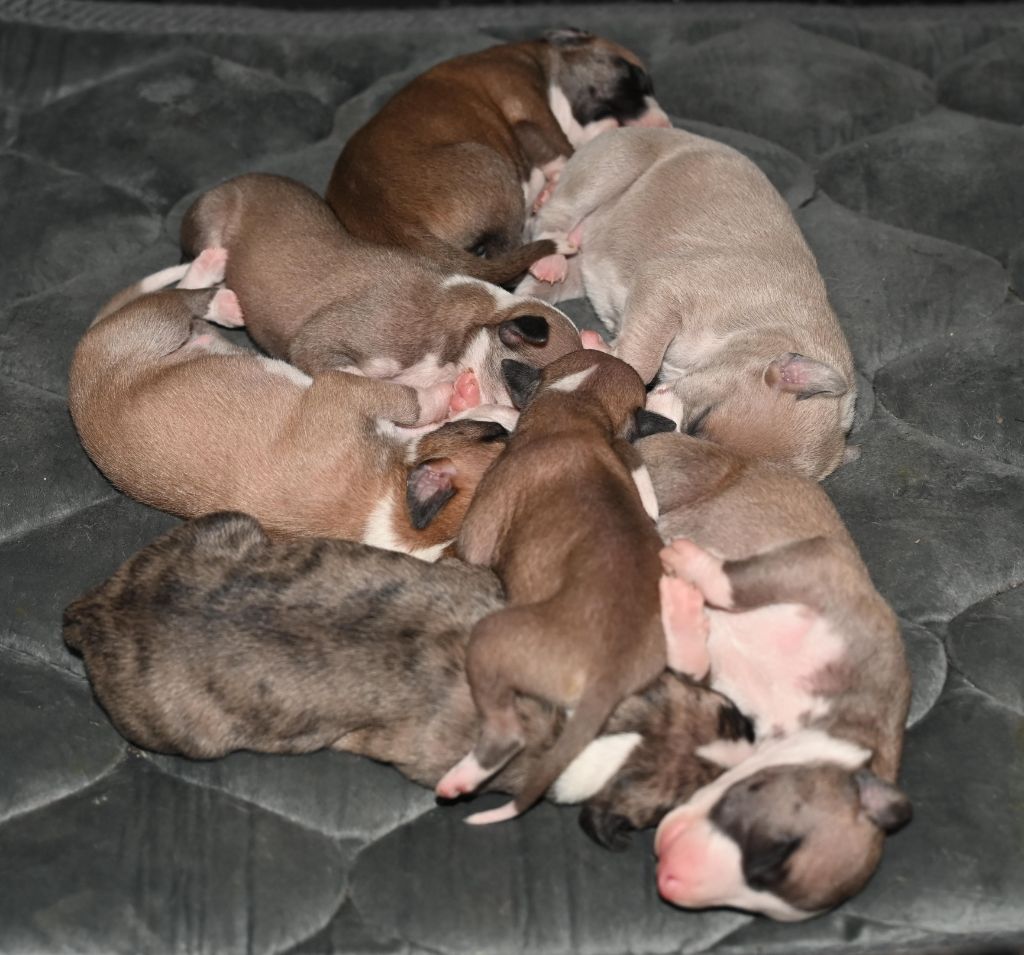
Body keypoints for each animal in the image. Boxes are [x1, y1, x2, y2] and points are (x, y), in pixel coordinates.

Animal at [68, 255, 509, 559]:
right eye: (495, 436)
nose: (512, 417)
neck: (391, 510)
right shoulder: (342, 392)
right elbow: (411, 400)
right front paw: (449, 391)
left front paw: (461, 395)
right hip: (160, 324)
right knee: (178, 297)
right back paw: (217, 287)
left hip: (174, 331)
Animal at [326, 29, 670, 285]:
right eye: (633, 75)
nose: (665, 124)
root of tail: (392, 220)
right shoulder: (531, 108)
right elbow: (561, 151)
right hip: (495, 169)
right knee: (506, 257)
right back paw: (549, 259)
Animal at [435, 349, 678, 824]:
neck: (576, 408)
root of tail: (609, 673)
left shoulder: (476, 538)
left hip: (491, 639)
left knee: (507, 733)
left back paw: (464, 777)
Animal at [517, 126, 857, 480]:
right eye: (700, 418)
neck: (762, 328)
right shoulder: (663, 288)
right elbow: (641, 361)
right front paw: (600, 348)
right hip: (609, 168)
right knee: (552, 217)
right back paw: (550, 257)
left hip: (574, 271)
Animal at [637, 432, 911, 920]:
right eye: (777, 851)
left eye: (757, 907)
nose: (669, 880)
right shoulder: (815, 566)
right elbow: (733, 581)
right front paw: (691, 562)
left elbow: (691, 661)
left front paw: (683, 604)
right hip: (678, 470)